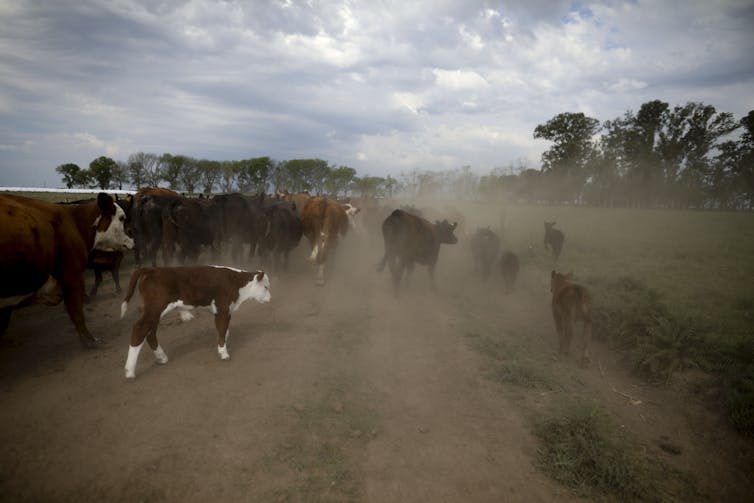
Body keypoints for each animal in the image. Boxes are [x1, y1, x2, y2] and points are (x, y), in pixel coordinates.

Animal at [0, 192, 134, 346]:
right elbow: (76, 310)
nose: (133, 235)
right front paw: (89, 340)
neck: (74, 221)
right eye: (122, 218)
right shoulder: (72, 274)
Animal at [120, 265, 271, 379]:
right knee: (139, 329)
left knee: (150, 332)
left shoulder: (223, 311)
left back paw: (162, 358)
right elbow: (222, 329)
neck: (236, 282)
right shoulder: (222, 309)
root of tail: (152, 270)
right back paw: (130, 371)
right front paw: (223, 353)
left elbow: (224, 330)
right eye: (265, 287)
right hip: (155, 309)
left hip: (155, 312)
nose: (270, 298)